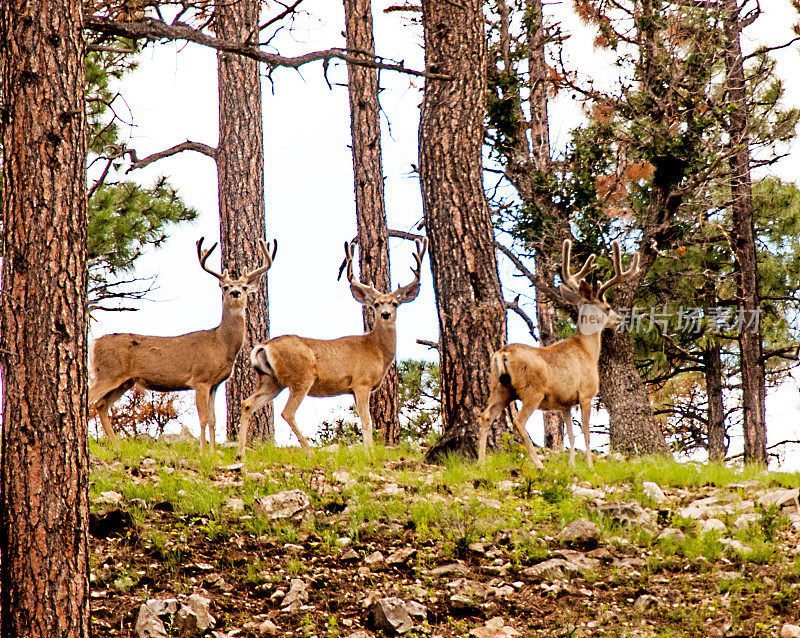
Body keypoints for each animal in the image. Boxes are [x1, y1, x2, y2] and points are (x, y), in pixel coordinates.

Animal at [88, 236, 276, 456]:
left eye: (245, 286)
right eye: (225, 286)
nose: (236, 292)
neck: (221, 344)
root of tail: (95, 343)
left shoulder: (215, 383)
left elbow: (213, 419)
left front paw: (213, 453)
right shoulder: (200, 378)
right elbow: (203, 418)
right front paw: (204, 452)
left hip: (125, 381)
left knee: (101, 404)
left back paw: (117, 446)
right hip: (109, 372)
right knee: (88, 398)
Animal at [236, 238, 428, 458]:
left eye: (395, 303)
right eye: (378, 304)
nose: (386, 314)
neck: (377, 350)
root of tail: (264, 345)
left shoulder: (353, 389)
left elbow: (364, 422)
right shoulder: (361, 383)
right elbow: (367, 422)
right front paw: (369, 454)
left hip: (271, 380)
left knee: (247, 403)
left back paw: (241, 453)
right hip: (301, 377)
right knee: (287, 412)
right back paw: (310, 452)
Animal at [478, 240, 640, 470]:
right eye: (608, 307)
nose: (619, 320)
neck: (587, 350)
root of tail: (502, 353)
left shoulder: (565, 403)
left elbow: (571, 434)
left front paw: (572, 464)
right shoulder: (586, 393)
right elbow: (585, 431)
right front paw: (590, 465)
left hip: (499, 386)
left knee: (485, 416)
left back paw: (481, 462)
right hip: (532, 389)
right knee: (519, 420)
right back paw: (538, 464)